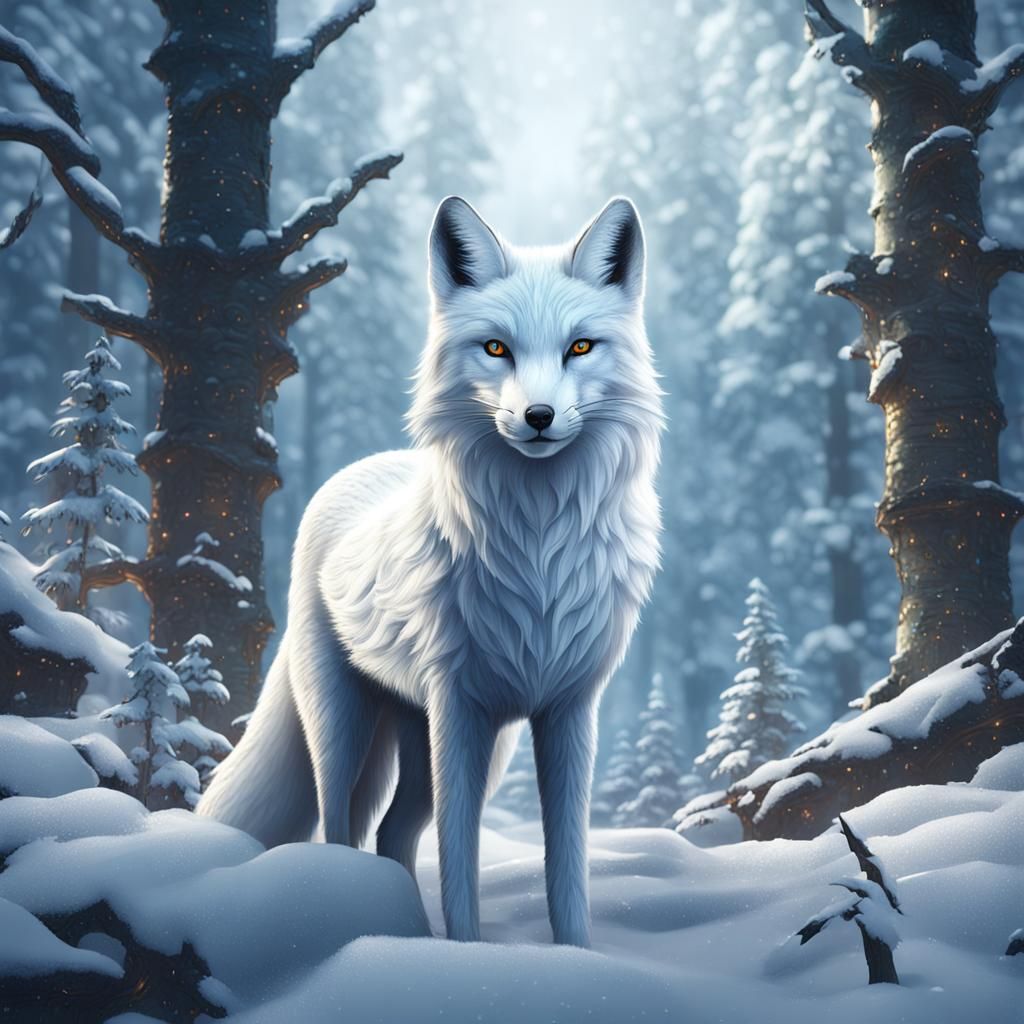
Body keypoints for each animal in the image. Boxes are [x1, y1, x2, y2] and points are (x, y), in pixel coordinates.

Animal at [197, 195, 663, 948]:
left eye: (580, 347)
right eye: (497, 348)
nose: (538, 416)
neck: (540, 550)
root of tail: (358, 469)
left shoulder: (568, 711)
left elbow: (568, 867)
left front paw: (577, 956)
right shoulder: (459, 709)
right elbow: (459, 861)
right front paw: (466, 955)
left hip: (446, 745)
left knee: (391, 831)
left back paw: (405, 927)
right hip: (347, 727)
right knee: (342, 822)